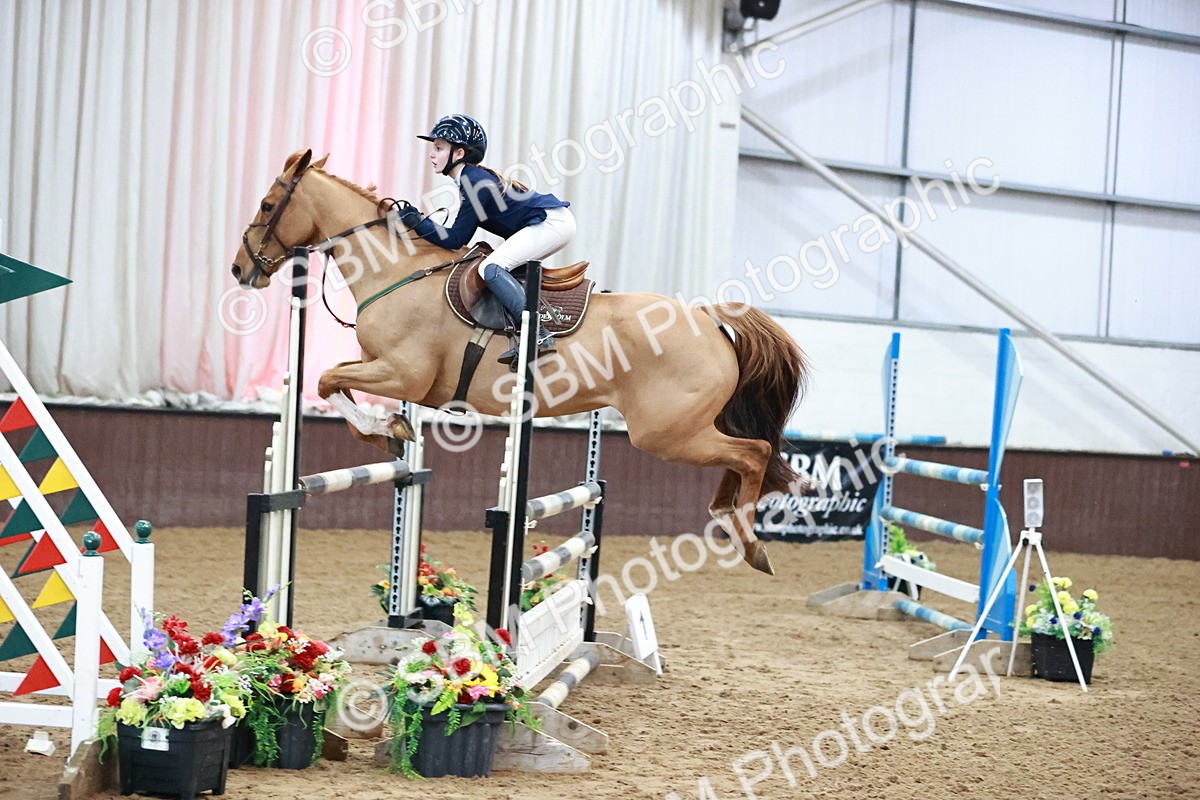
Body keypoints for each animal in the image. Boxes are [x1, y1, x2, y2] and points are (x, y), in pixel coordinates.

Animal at [230, 149, 808, 575]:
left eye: (267, 204)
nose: (240, 269)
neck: (395, 271)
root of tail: (710, 321)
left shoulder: (405, 375)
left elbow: (327, 380)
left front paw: (385, 428)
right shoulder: (383, 367)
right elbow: (338, 386)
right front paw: (388, 433)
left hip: (666, 433)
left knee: (753, 452)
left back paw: (751, 543)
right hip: (681, 429)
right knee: (744, 456)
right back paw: (729, 521)